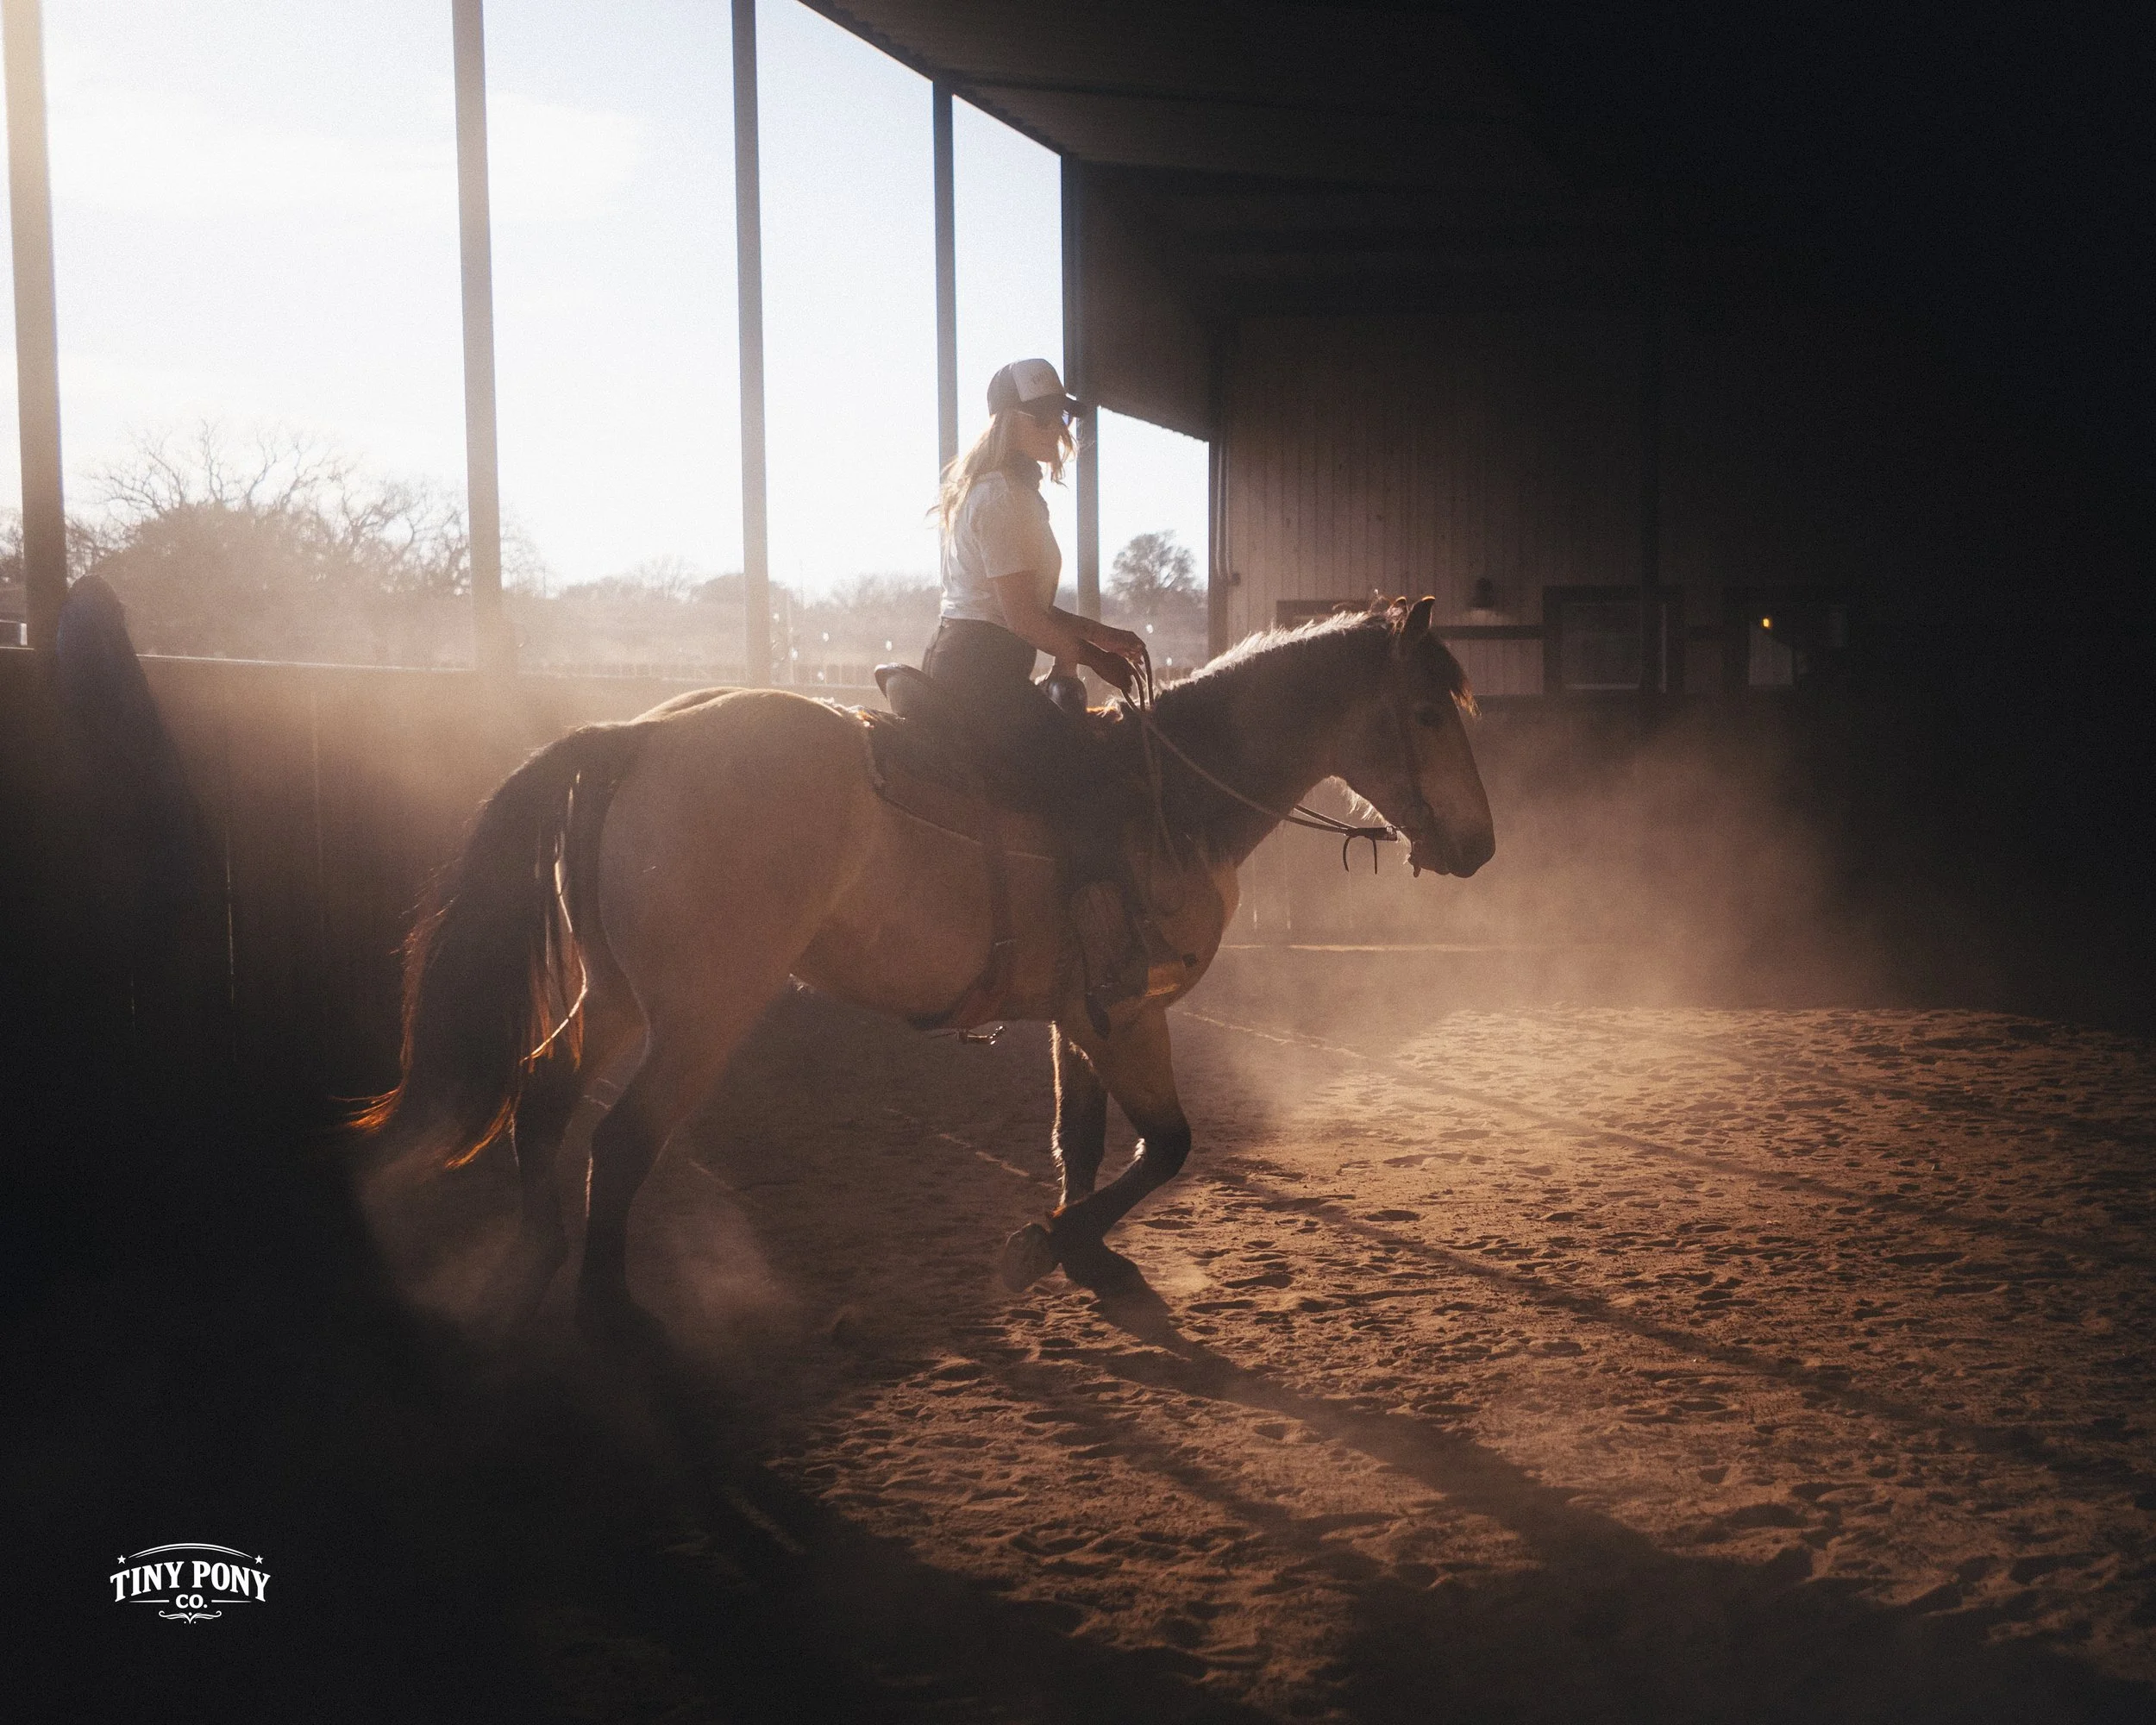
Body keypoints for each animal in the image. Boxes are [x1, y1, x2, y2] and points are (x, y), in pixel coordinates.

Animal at [359, 596, 1494, 1337]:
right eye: (1427, 713)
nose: (1480, 846)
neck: (1172, 797)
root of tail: (634, 735)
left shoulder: (1078, 1014)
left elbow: (1082, 1140)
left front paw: (1084, 1251)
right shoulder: (1129, 1011)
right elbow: (1167, 1145)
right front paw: (1037, 1247)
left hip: (620, 995)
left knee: (545, 1087)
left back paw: (534, 1259)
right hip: (702, 1013)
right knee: (623, 1138)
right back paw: (608, 1310)